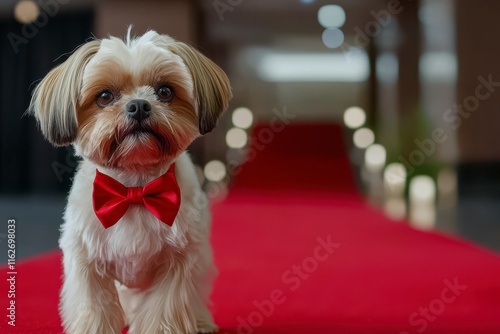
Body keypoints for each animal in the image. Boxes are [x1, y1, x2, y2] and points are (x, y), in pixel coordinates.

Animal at [27, 28, 230, 334]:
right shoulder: (86, 261)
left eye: (165, 91)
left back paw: (201, 321)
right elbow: (94, 308)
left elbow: (162, 310)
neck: (134, 189)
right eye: (104, 96)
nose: (138, 106)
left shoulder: (178, 262)